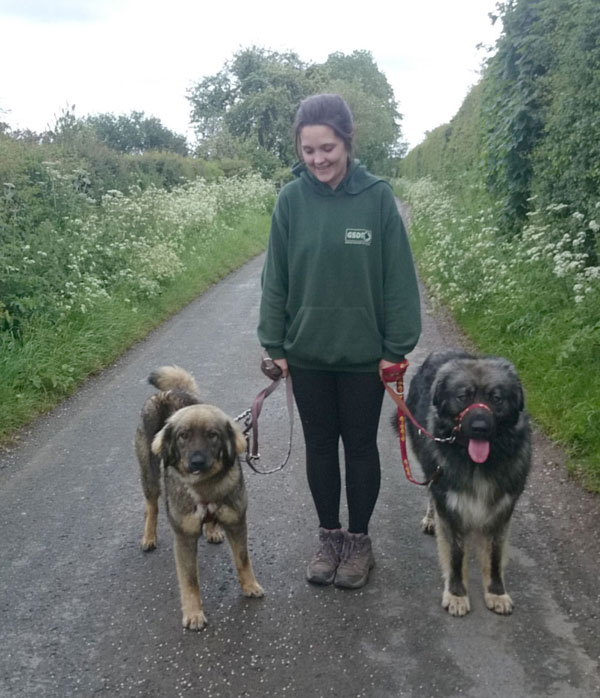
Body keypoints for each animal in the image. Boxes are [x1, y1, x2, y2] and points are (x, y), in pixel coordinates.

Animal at [135, 368, 264, 628]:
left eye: (212, 435)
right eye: (183, 436)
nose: (196, 462)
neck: (205, 487)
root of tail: (169, 392)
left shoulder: (237, 523)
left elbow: (243, 560)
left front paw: (250, 586)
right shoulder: (184, 537)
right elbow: (189, 580)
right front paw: (194, 614)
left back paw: (213, 530)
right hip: (150, 475)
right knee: (152, 505)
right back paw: (149, 536)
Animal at [406, 348, 532, 616]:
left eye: (496, 398)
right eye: (463, 397)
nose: (480, 427)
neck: (477, 464)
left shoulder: (500, 511)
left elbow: (494, 557)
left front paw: (496, 592)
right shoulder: (450, 507)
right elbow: (455, 556)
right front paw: (456, 594)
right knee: (430, 493)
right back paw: (430, 519)